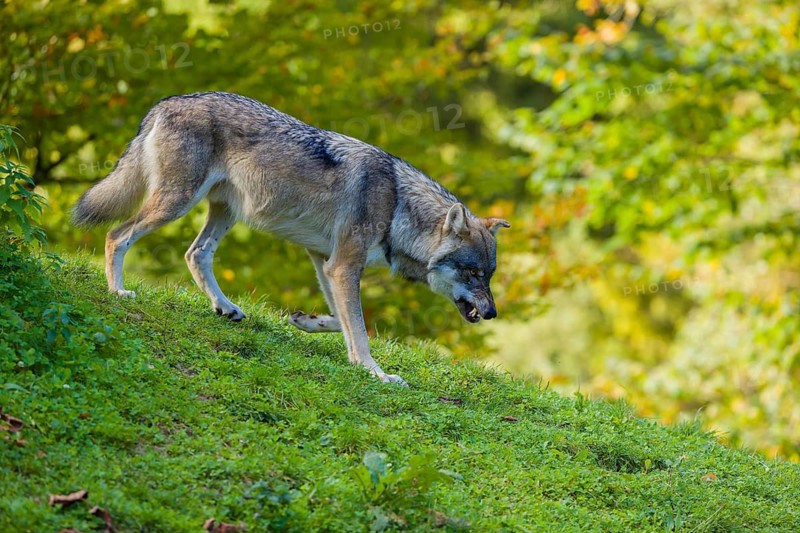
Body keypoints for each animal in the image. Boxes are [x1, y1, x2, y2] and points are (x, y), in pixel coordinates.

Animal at [73, 92, 509, 386]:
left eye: (488, 276)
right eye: (472, 273)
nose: (491, 314)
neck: (397, 206)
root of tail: (165, 103)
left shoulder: (325, 261)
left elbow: (343, 320)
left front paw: (306, 321)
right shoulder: (342, 265)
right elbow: (361, 330)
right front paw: (376, 373)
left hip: (224, 213)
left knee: (195, 254)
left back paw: (225, 307)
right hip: (177, 203)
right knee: (116, 235)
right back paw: (118, 291)